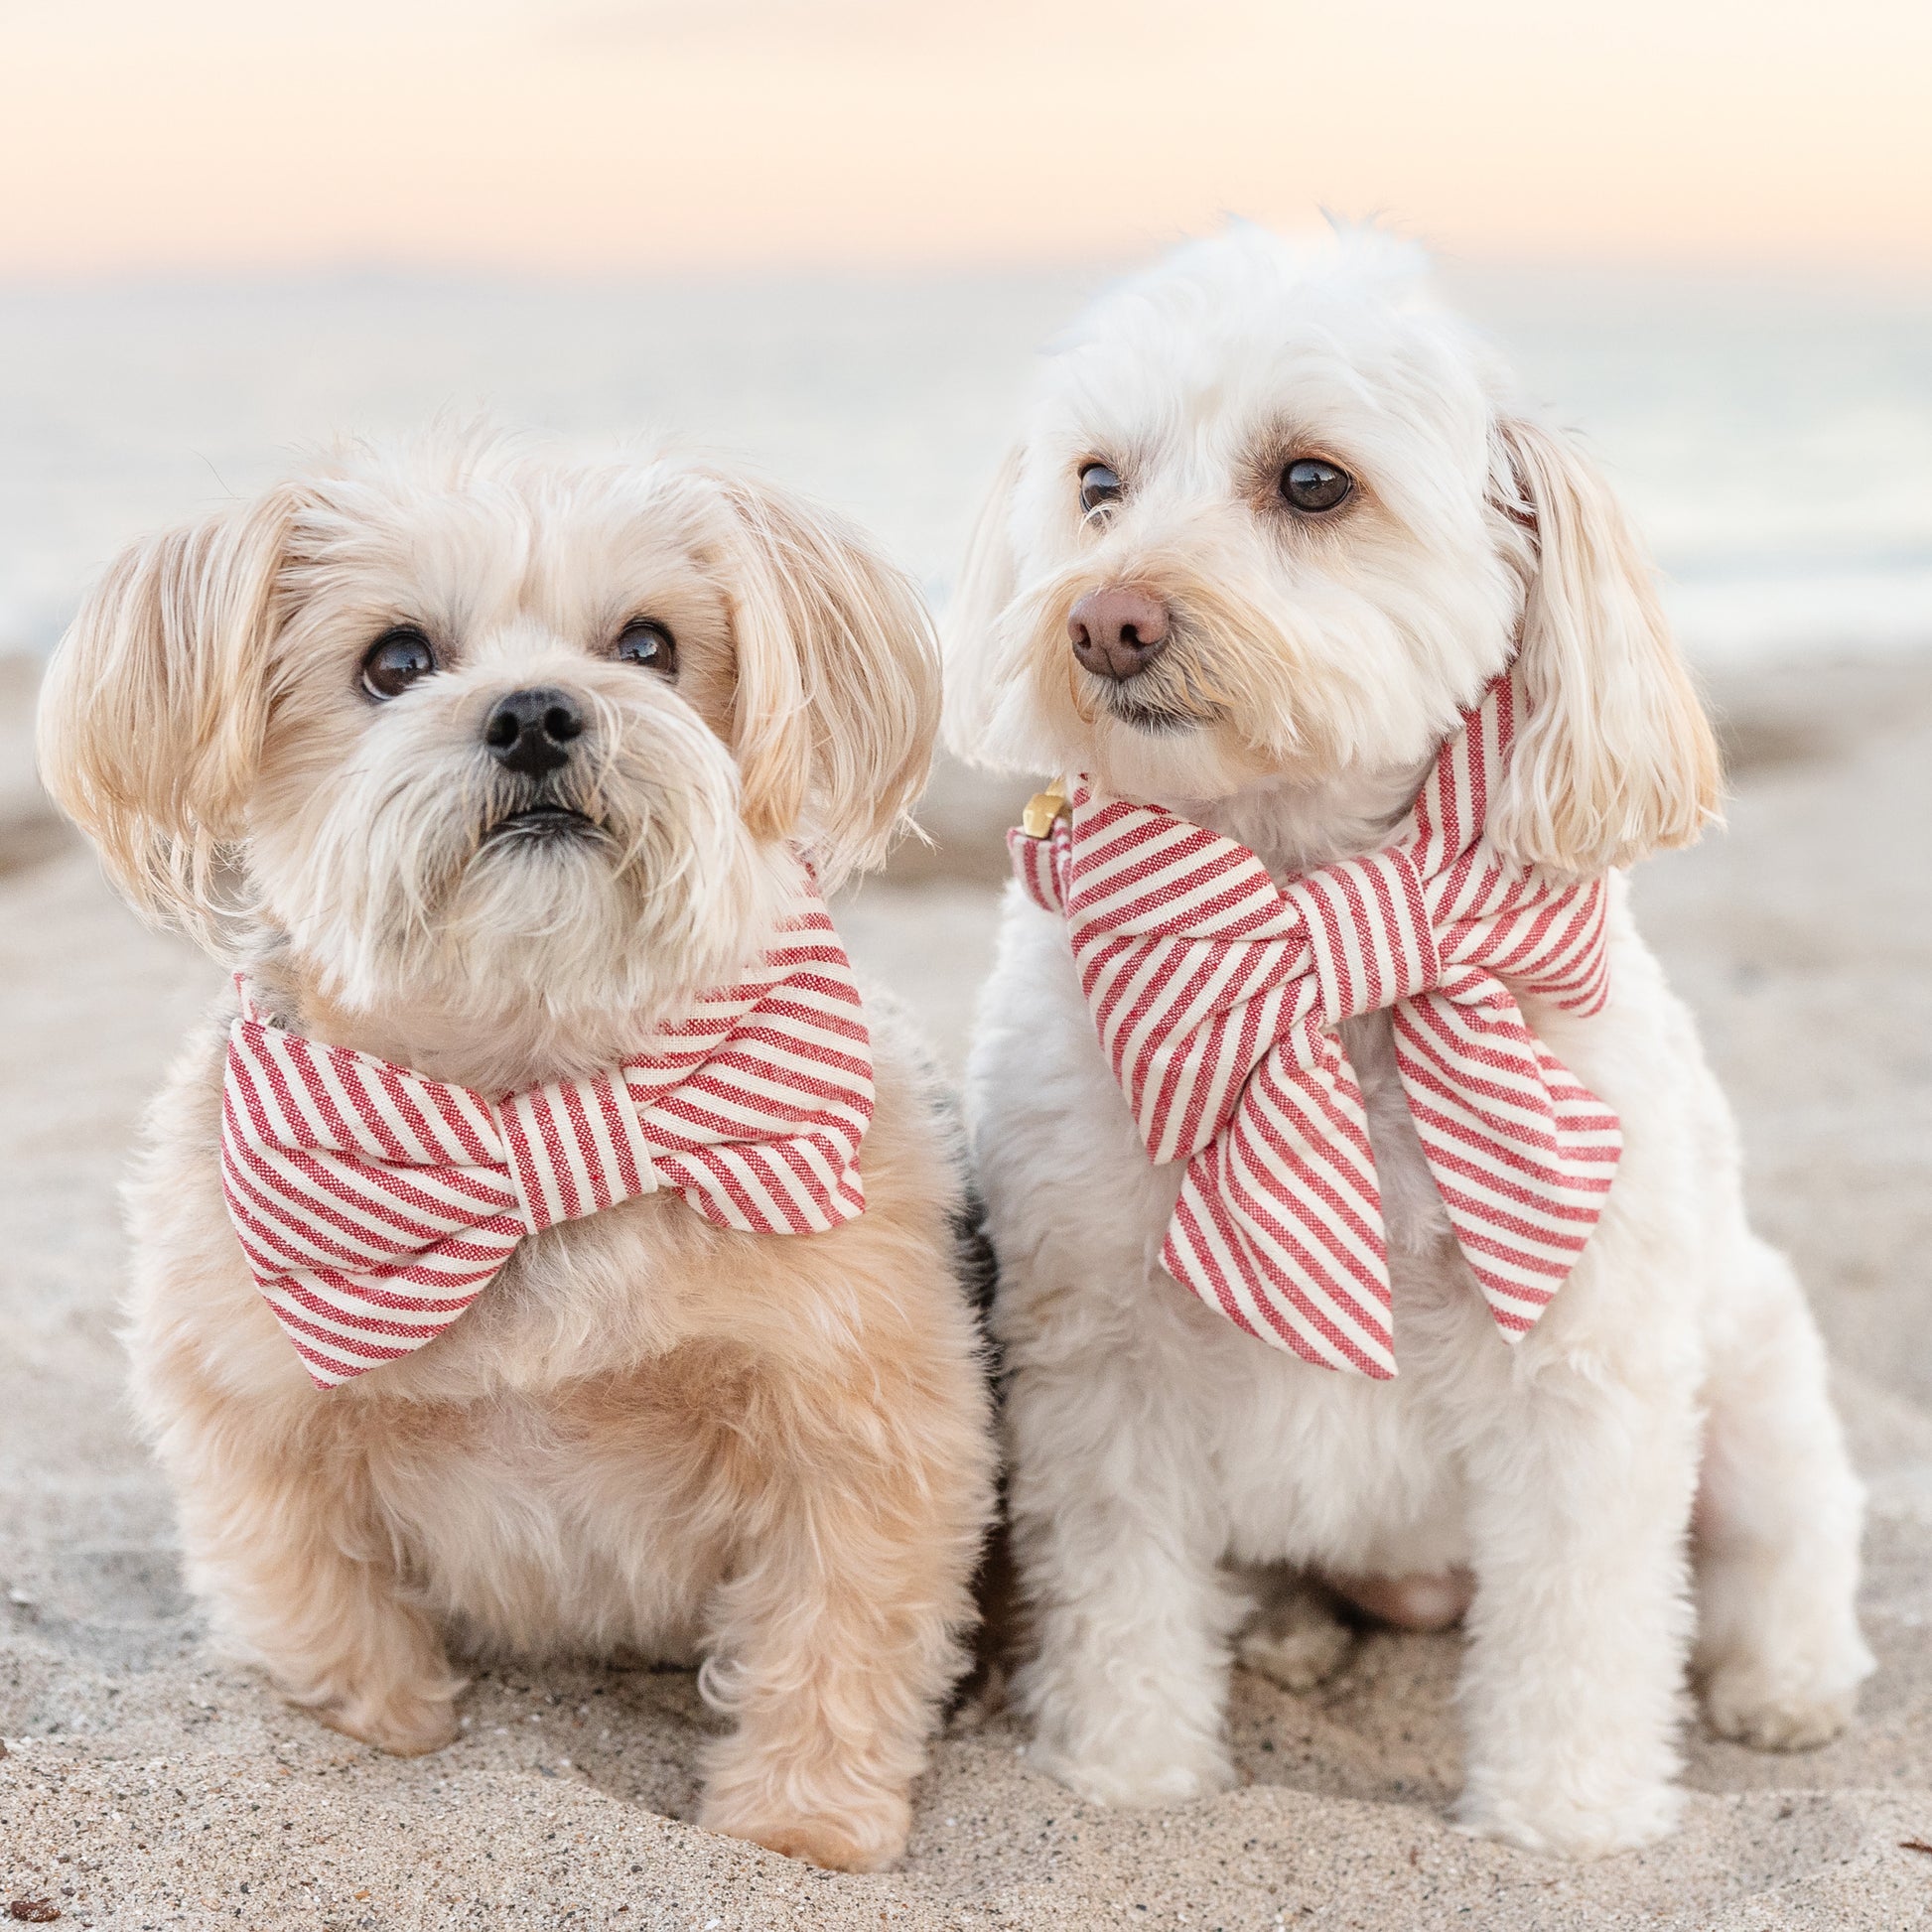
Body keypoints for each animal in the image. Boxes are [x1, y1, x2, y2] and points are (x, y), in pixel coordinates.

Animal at [34, 434, 997, 1869]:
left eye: (649, 644)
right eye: (394, 660)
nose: (539, 712)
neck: (528, 1092)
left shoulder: (860, 1420)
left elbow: (836, 1637)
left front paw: (800, 1827)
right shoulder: (255, 1413)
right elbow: (322, 1610)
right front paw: (382, 1733)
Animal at [946, 225, 1869, 1855]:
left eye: (1312, 481)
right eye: (1095, 482)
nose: (1101, 617)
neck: (1303, 912)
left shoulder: (1584, 1365)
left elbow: (1578, 1620)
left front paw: (1566, 1817)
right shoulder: (1101, 1349)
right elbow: (1120, 1590)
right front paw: (1125, 1771)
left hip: (1754, 1375)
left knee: (1789, 1549)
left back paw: (1784, 1687)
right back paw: (1287, 1632)